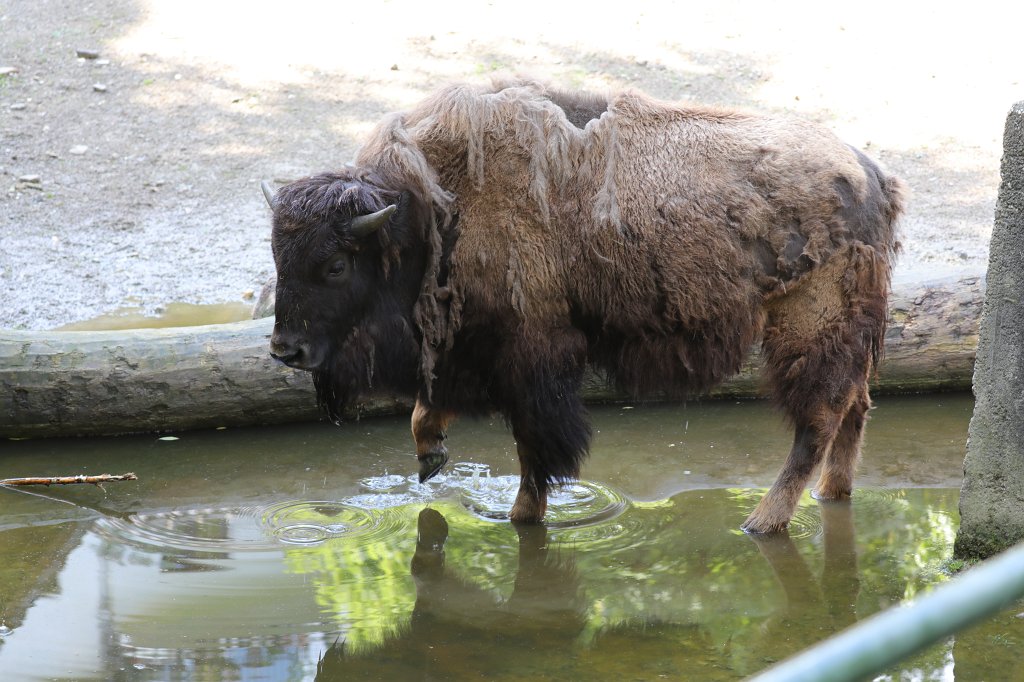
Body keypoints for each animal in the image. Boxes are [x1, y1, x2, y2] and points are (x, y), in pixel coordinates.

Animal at [264, 78, 904, 533]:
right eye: (277, 257)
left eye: (335, 265)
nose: (285, 349)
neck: (429, 215)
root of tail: (872, 173)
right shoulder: (463, 351)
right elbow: (429, 412)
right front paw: (430, 460)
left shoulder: (531, 361)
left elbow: (536, 451)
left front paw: (522, 518)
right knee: (855, 407)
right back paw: (831, 494)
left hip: (808, 325)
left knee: (817, 422)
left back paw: (762, 522)